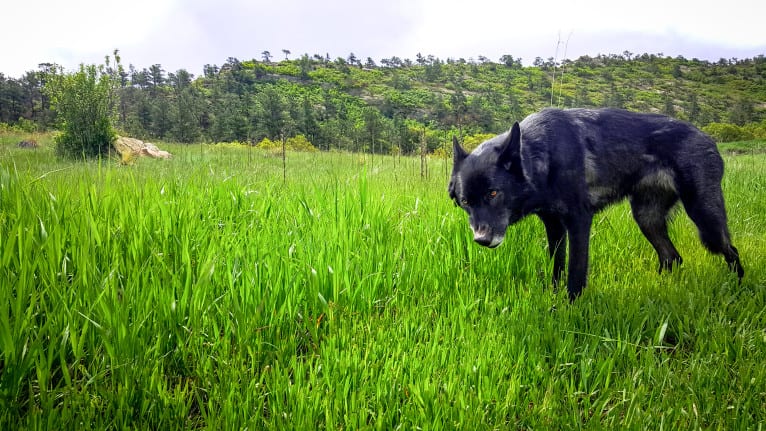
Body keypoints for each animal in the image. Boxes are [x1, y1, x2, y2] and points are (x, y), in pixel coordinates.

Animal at [450, 108, 744, 302]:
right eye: (465, 201)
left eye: (493, 193)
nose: (481, 239)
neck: (543, 152)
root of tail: (708, 138)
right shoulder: (554, 227)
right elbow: (557, 267)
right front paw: (553, 299)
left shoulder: (579, 221)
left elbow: (576, 272)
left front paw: (570, 309)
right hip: (647, 218)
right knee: (672, 257)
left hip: (704, 216)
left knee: (731, 250)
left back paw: (737, 289)